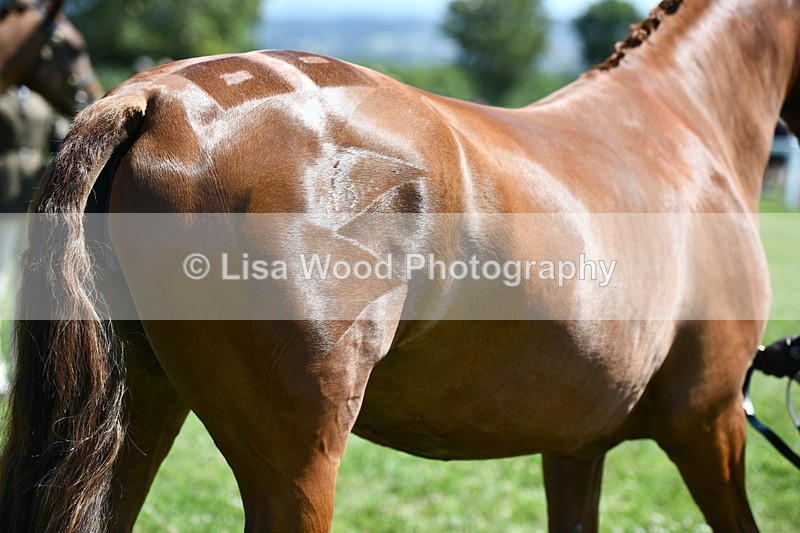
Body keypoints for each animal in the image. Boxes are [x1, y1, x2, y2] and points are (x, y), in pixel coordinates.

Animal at [0, 0, 795, 531]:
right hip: (294, 466)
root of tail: (153, 98)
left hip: (136, 417)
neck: (677, 123)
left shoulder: (576, 447)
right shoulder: (711, 420)